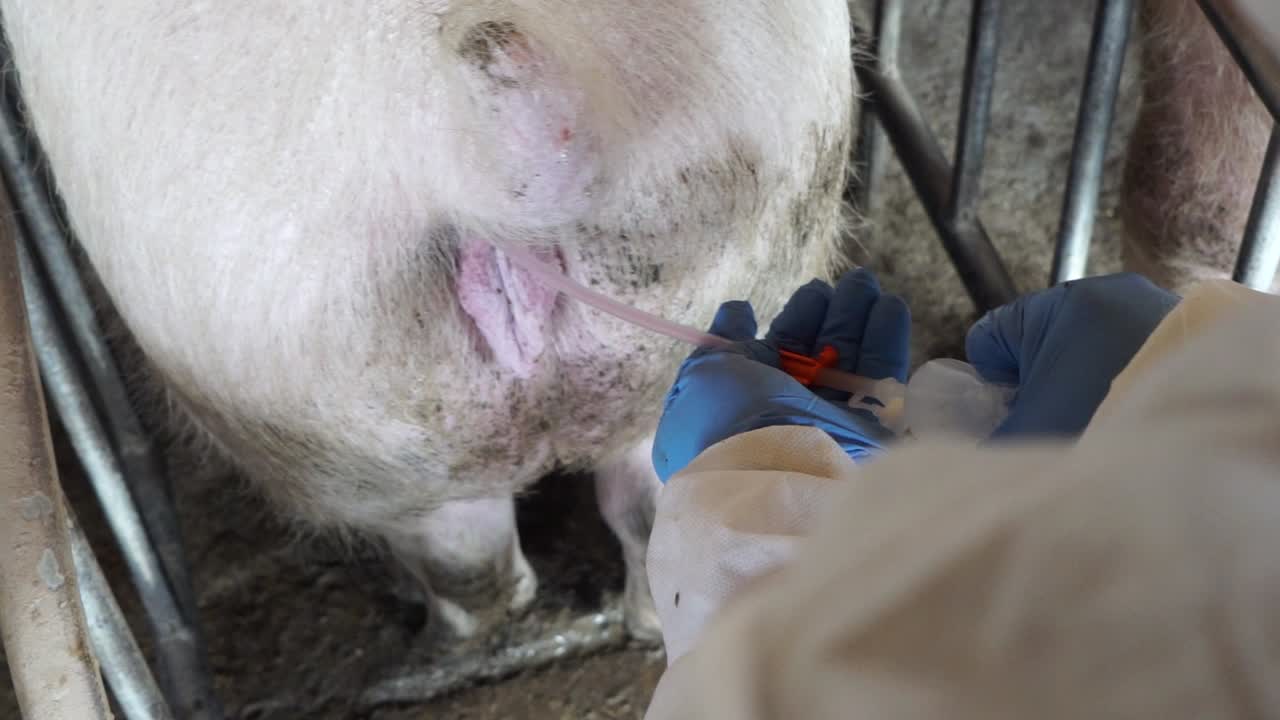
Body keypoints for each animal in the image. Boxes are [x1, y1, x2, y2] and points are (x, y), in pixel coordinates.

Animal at [0, 1, 859, 638]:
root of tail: (489, 134)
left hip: (335, 416)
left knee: (465, 557)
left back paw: (461, 625)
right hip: (727, 272)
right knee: (654, 505)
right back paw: (647, 626)